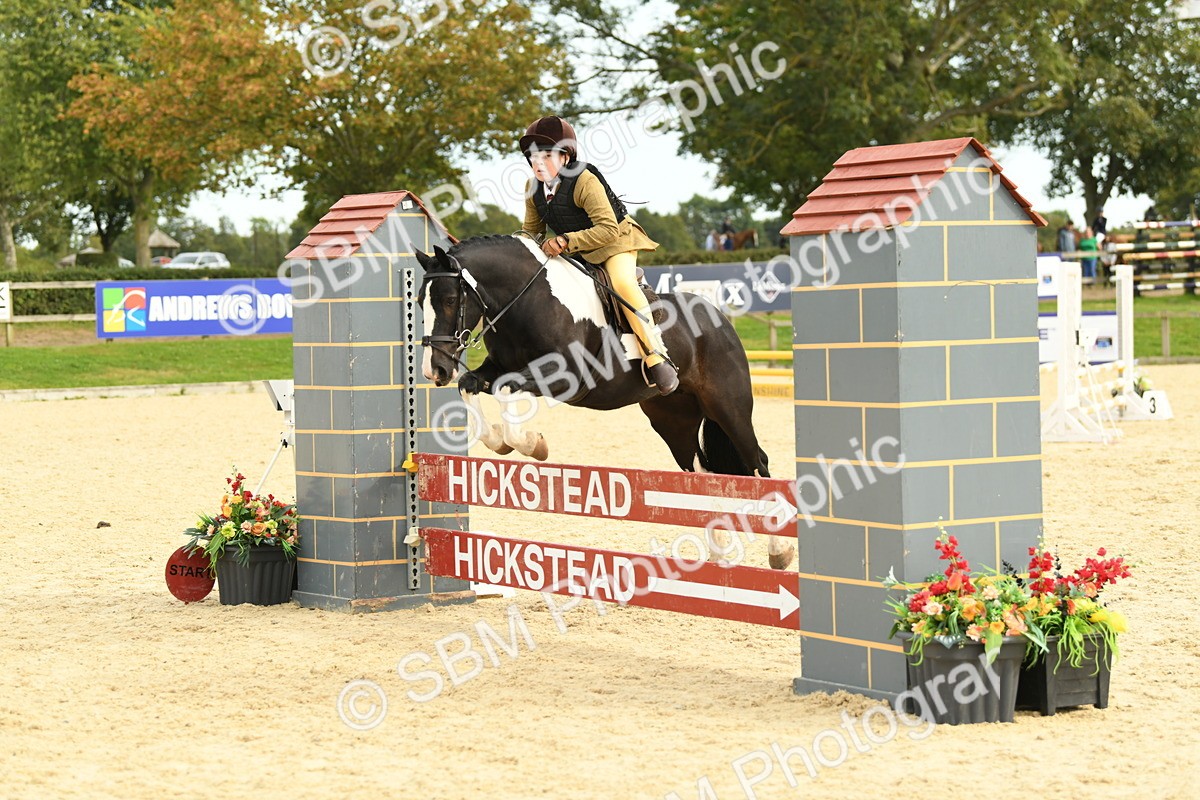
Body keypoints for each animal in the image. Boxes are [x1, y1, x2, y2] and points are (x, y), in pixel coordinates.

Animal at [415, 235, 796, 570]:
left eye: (449, 299)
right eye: (420, 301)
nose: (435, 369)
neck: (527, 300)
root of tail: (718, 318)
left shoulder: (563, 375)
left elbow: (507, 391)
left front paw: (533, 444)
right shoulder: (498, 368)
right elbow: (469, 385)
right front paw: (503, 442)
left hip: (728, 408)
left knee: (758, 466)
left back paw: (779, 552)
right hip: (673, 420)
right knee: (702, 474)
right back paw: (718, 557)